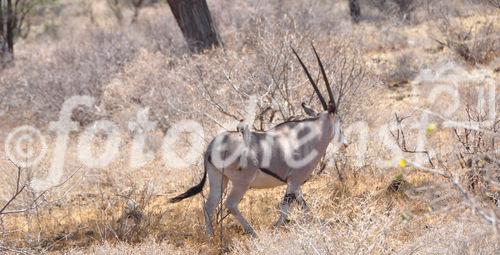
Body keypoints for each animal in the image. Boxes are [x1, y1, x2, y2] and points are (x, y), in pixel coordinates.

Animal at [169, 45, 348, 237]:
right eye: (339, 120)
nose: (345, 143)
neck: (307, 136)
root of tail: (211, 148)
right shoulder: (295, 180)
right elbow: (285, 207)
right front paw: (276, 229)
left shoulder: (294, 184)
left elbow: (303, 205)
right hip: (241, 182)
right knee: (230, 204)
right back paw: (252, 233)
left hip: (219, 178)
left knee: (209, 205)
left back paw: (211, 237)